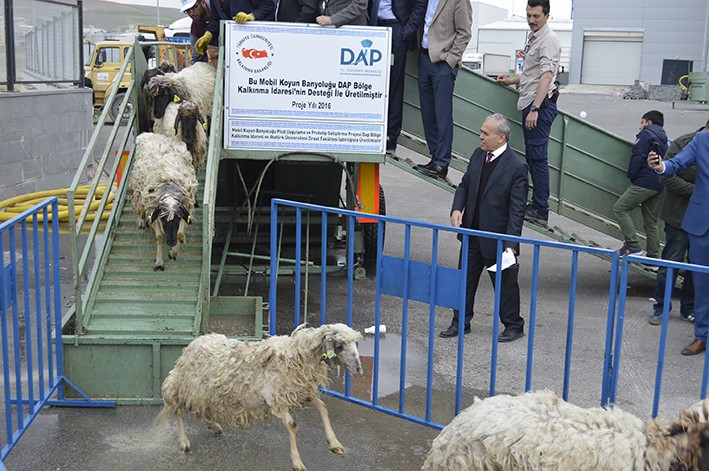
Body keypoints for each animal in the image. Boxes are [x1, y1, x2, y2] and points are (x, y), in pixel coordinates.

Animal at [127, 133, 196, 272]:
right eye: (163, 219)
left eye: (177, 219)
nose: (171, 242)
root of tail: (149, 134)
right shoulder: (152, 211)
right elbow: (159, 237)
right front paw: (159, 262)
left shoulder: (186, 208)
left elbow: (180, 233)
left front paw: (174, 252)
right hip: (138, 194)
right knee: (140, 208)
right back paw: (142, 221)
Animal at [160, 324, 366, 471]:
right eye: (339, 346)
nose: (359, 370)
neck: (296, 356)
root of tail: (190, 346)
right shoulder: (275, 400)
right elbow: (292, 425)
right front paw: (297, 462)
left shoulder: (301, 392)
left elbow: (323, 407)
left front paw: (335, 443)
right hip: (187, 388)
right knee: (179, 410)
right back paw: (184, 442)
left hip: (207, 392)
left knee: (203, 411)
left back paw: (215, 427)